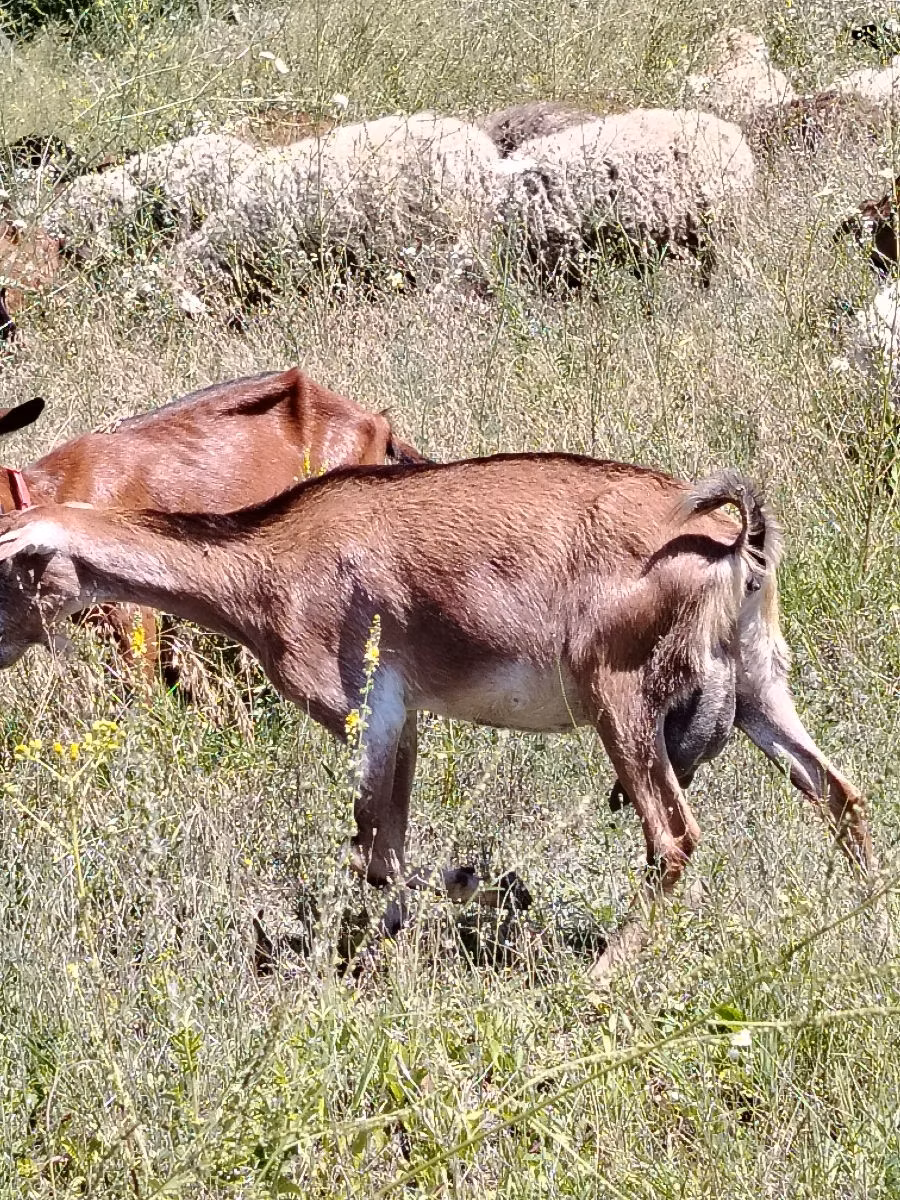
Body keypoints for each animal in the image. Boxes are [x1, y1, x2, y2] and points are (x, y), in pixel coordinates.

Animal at [0, 453, 874, 978]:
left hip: (618, 701)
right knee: (840, 793)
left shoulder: (366, 716)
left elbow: (374, 856)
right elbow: (386, 849)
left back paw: (594, 978)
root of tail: (737, 544)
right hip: (761, 691)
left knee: (675, 841)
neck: (266, 560)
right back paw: (866, 919)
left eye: (8, 565)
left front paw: (484, 890)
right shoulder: (408, 723)